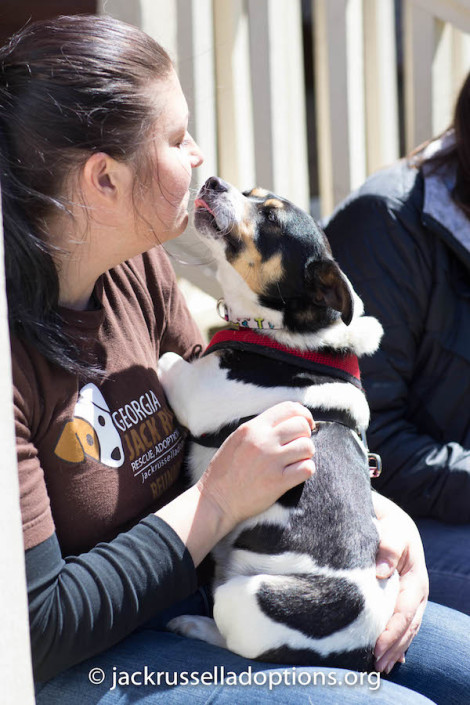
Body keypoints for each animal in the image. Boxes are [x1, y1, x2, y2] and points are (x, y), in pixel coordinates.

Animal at [157, 177, 396, 672]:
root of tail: (358, 656)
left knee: (231, 639)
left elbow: (168, 360)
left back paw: (194, 625)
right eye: (249, 192)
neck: (288, 339)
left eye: (269, 218)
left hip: (242, 597)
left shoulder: (197, 394)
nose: (213, 181)